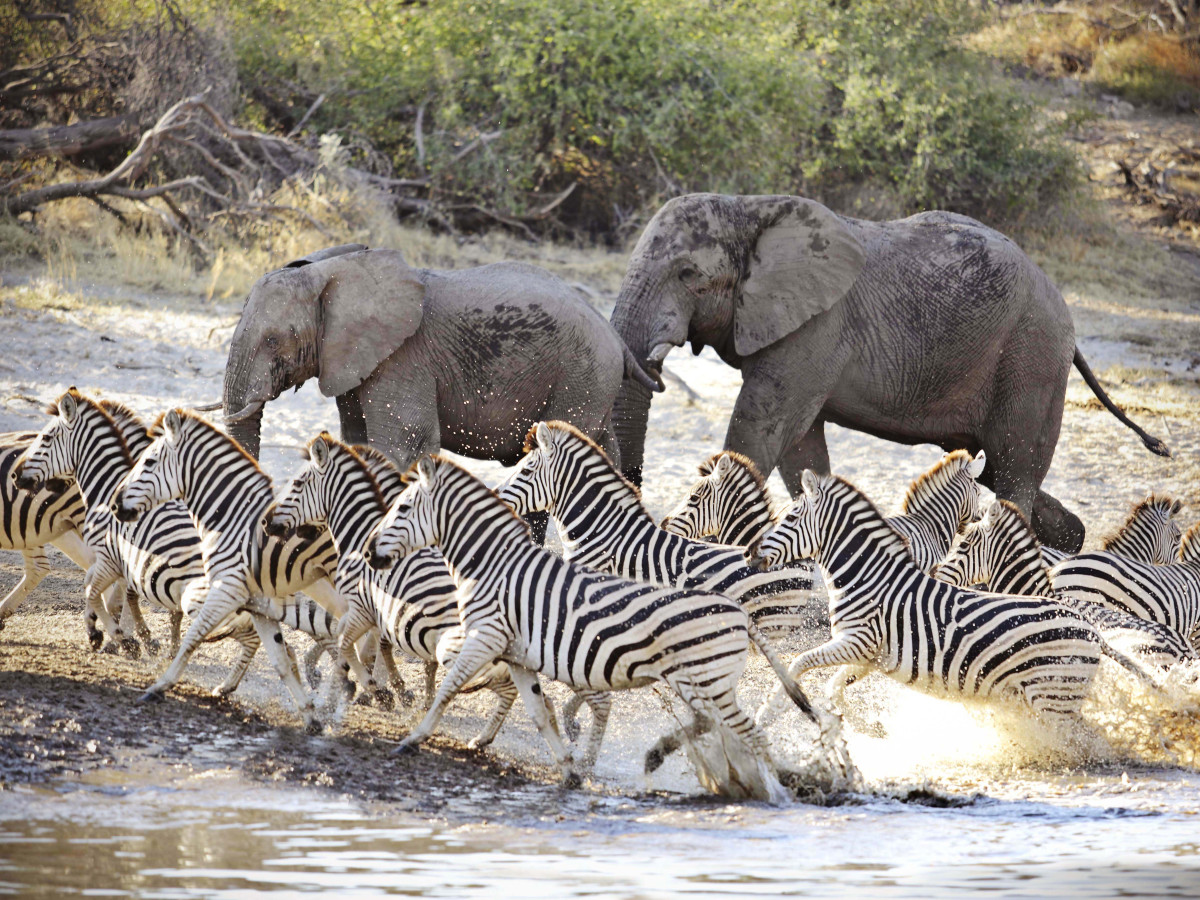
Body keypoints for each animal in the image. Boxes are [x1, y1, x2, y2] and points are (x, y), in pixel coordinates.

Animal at [14, 391, 345, 700]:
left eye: (44, 438)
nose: (15, 476)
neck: (106, 488)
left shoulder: (112, 559)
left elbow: (95, 593)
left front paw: (124, 640)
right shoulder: (128, 565)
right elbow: (110, 595)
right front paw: (108, 634)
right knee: (302, 634)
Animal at [108, 407, 349, 732]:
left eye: (148, 462)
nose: (115, 505)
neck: (230, 518)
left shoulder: (227, 589)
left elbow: (194, 635)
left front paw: (159, 685)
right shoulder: (259, 603)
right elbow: (280, 660)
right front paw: (310, 716)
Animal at [264, 433, 612, 761]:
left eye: (296, 484)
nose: (267, 522)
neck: (360, 535)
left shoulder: (364, 609)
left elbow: (347, 646)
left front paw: (369, 690)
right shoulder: (381, 615)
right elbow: (364, 647)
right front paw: (383, 690)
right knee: (533, 694)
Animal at [365, 454, 816, 800]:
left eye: (401, 510)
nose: (369, 552)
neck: (494, 564)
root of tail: (737, 613)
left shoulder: (489, 635)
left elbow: (449, 685)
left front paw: (413, 737)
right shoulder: (518, 650)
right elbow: (538, 712)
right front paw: (568, 767)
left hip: (711, 676)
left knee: (749, 731)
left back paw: (777, 792)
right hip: (700, 681)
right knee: (715, 725)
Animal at [751, 470, 1142, 729]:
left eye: (790, 517)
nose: (752, 552)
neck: (869, 578)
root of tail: (1090, 629)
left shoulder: (857, 641)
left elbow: (798, 663)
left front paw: (769, 713)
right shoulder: (868, 655)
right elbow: (833, 688)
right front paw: (864, 728)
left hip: (1054, 699)